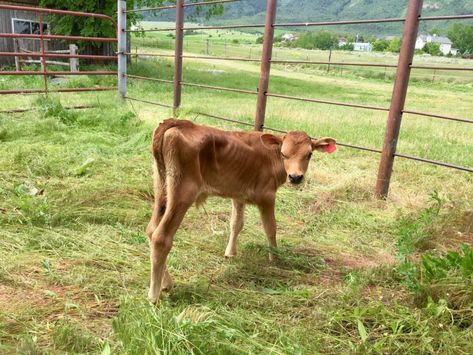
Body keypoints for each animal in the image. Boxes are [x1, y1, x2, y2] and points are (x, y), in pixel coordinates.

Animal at [146, 119, 334, 304]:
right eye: (283, 153)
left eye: (309, 154)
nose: (295, 177)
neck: (271, 158)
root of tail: (179, 122)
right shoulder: (267, 196)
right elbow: (270, 228)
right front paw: (274, 258)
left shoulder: (238, 195)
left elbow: (236, 223)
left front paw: (230, 253)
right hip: (183, 192)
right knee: (161, 237)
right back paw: (154, 295)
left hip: (161, 187)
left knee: (151, 230)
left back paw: (166, 283)